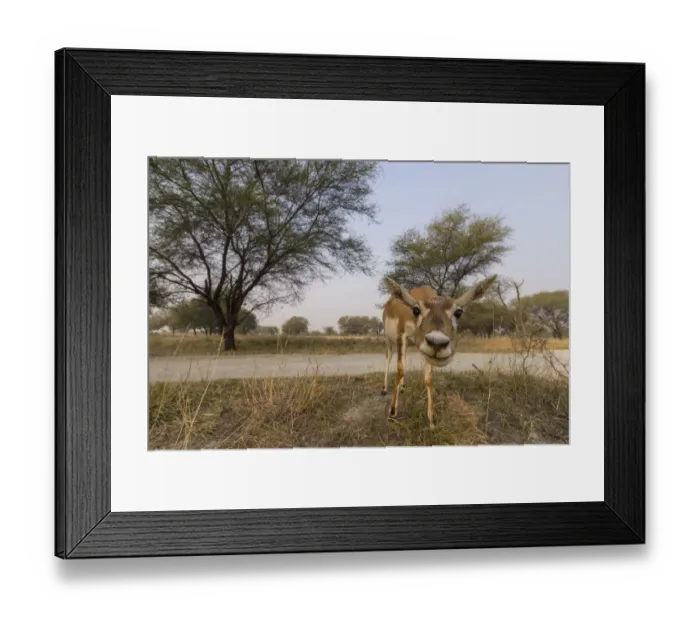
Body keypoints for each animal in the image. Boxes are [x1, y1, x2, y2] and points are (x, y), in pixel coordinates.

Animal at [381, 274, 498, 428]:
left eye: (458, 312)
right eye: (416, 310)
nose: (437, 342)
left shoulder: (424, 350)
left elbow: (428, 378)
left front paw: (431, 420)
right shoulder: (402, 336)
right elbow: (400, 370)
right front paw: (392, 412)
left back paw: (402, 387)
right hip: (388, 340)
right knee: (388, 359)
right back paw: (384, 389)